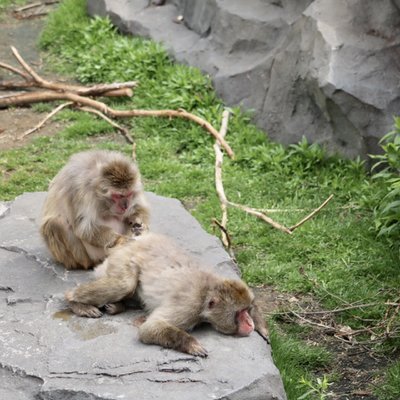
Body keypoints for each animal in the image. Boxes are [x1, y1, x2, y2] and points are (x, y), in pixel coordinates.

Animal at [66, 233, 268, 354]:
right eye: (239, 314)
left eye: (246, 310)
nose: (249, 322)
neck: (206, 292)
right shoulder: (189, 307)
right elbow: (150, 328)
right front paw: (191, 344)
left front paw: (262, 326)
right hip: (123, 259)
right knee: (123, 285)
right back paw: (75, 301)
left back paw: (117, 306)